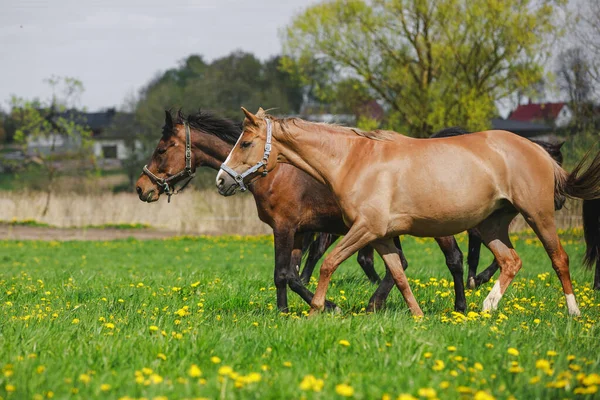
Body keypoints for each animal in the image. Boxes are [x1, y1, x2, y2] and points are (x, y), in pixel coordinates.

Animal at [134, 109, 466, 312]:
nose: (141, 187)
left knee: (453, 259)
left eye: (161, 150)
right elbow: (291, 275)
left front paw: (323, 306)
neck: (274, 170)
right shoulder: (297, 232)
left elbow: (283, 273)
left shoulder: (285, 227)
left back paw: (458, 306)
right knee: (399, 264)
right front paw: (287, 310)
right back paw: (376, 304)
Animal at [217, 108, 600, 318]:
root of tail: (539, 150)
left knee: (559, 258)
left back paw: (573, 311)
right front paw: (416, 315)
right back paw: (486, 307)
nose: (222, 180)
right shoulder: (382, 236)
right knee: (510, 261)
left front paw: (317, 311)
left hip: (538, 215)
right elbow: (399, 275)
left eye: (246, 143)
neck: (354, 160)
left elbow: (327, 265)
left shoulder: (364, 230)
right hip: (492, 224)